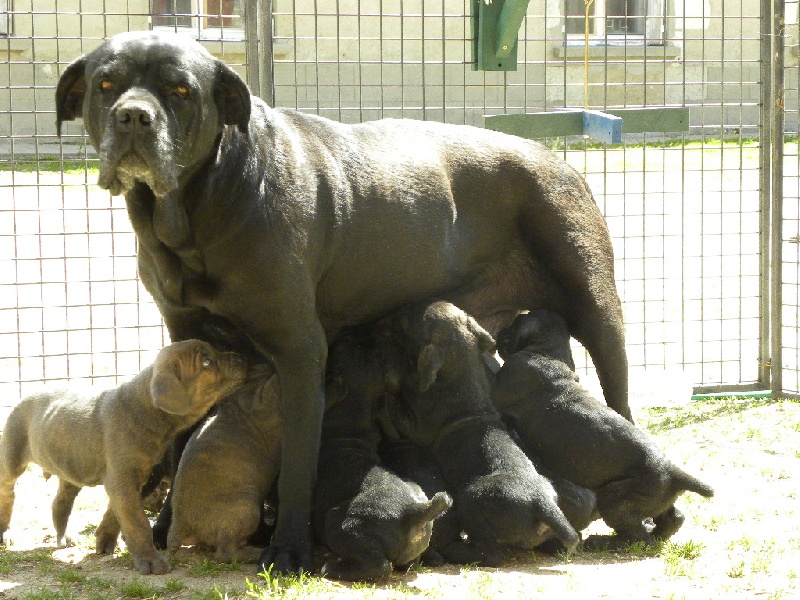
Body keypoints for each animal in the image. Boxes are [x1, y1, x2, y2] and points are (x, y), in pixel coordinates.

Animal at [0, 340, 247, 576]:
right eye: (206, 361)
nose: (241, 357)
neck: (144, 409)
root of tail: (26, 395)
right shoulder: (122, 481)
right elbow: (137, 522)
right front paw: (150, 561)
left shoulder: (134, 479)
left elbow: (115, 514)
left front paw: (105, 540)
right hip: (11, 461)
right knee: (7, 495)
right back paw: (5, 534)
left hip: (70, 469)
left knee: (61, 502)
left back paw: (66, 535)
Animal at [382, 300, 580, 564]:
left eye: (411, 321)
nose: (395, 312)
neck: (463, 370)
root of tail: (542, 503)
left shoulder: (416, 426)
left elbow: (393, 406)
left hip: (471, 499)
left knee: (490, 554)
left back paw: (458, 551)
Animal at [494, 312, 712, 552]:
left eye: (513, 326)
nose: (499, 332)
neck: (549, 352)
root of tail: (674, 473)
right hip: (651, 501)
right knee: (671, 520)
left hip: (614, 500)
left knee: (637, 537)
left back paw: (603, 542)